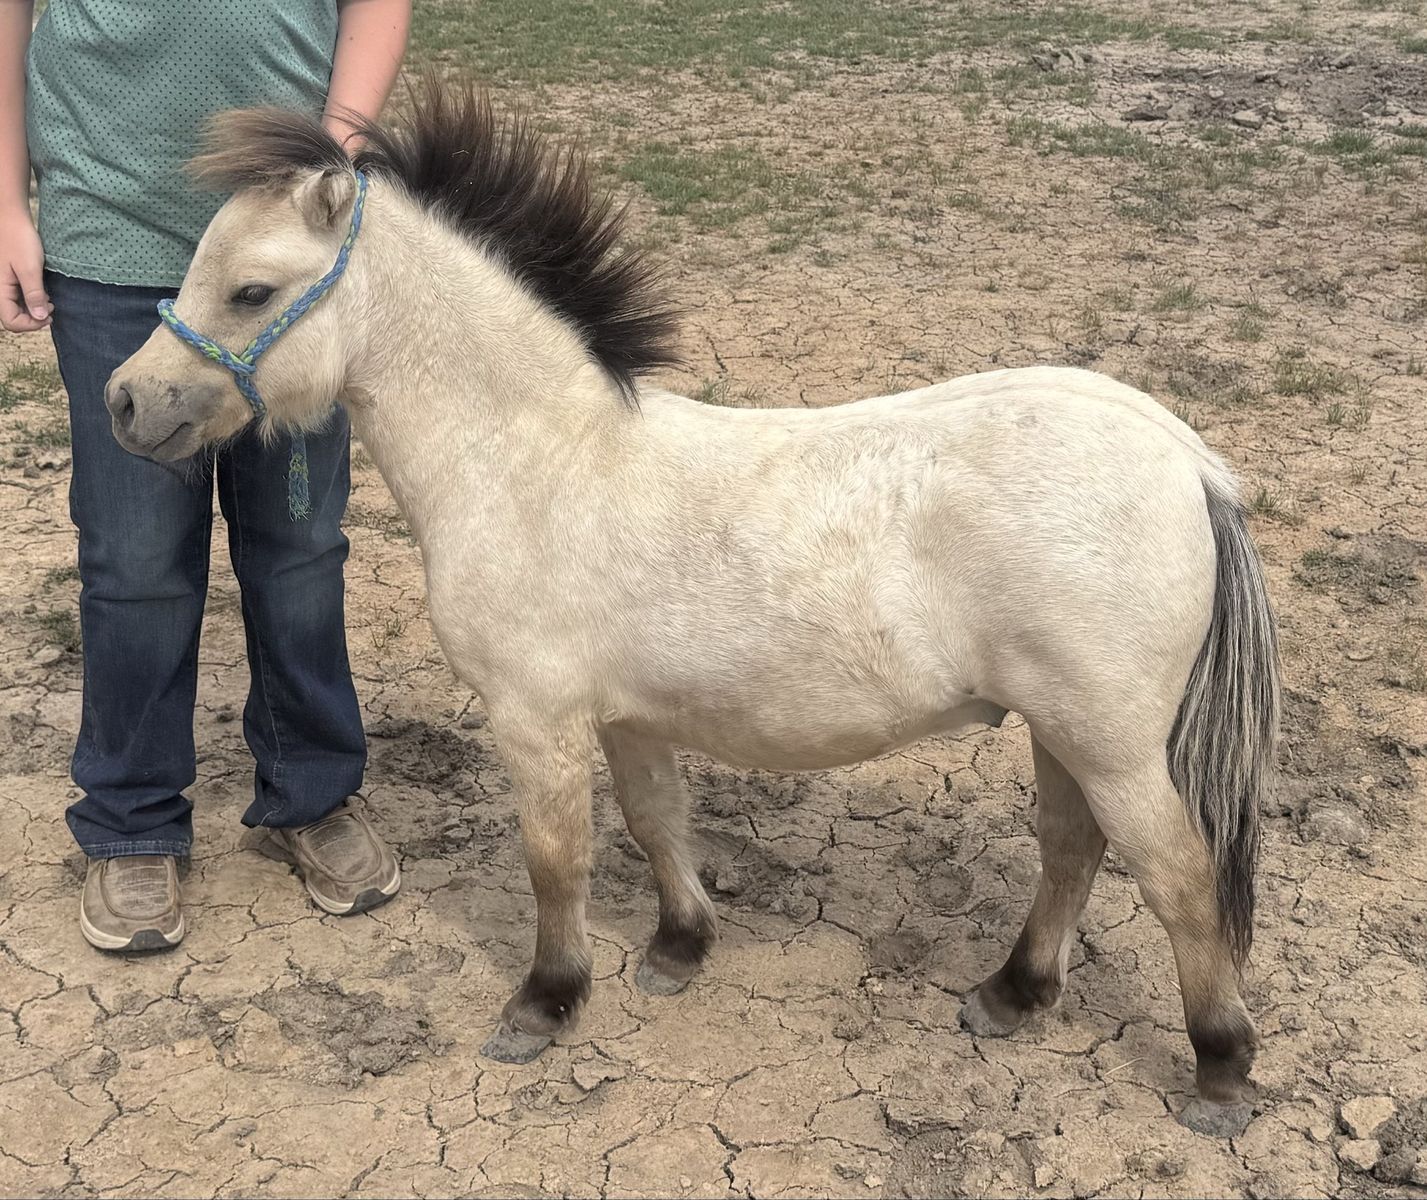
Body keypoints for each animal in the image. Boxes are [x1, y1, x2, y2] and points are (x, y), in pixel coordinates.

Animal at [107, 80, 1279, 1136]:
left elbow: (556, 860)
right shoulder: (628, 716)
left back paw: (1218, 1074)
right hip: (1060, 729)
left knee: (1175, 880)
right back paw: (1011, 995)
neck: (535, 462)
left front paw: (545, 1004)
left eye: (251, 292)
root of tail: (1186, 461)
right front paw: (678, 950)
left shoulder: (534, 718)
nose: (124, 402)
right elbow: (655, 821)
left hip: (1111, 741)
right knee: (1070, 851)